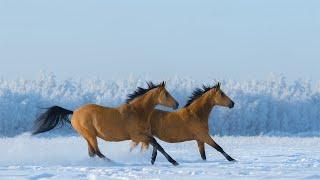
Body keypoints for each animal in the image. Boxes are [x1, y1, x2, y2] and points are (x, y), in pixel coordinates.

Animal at [33, 81, 181, 166]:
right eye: (166, 94)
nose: (177, 104)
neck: (137, 112)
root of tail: (74, 112)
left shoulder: (144, 135)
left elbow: (155, 144)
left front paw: (152, 159)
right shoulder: (137, 136)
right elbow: (157, 144)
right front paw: (174, 162)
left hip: (87, 137)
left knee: (92, 153)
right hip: (90, 135)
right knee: (97, 152)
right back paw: (113, 163)